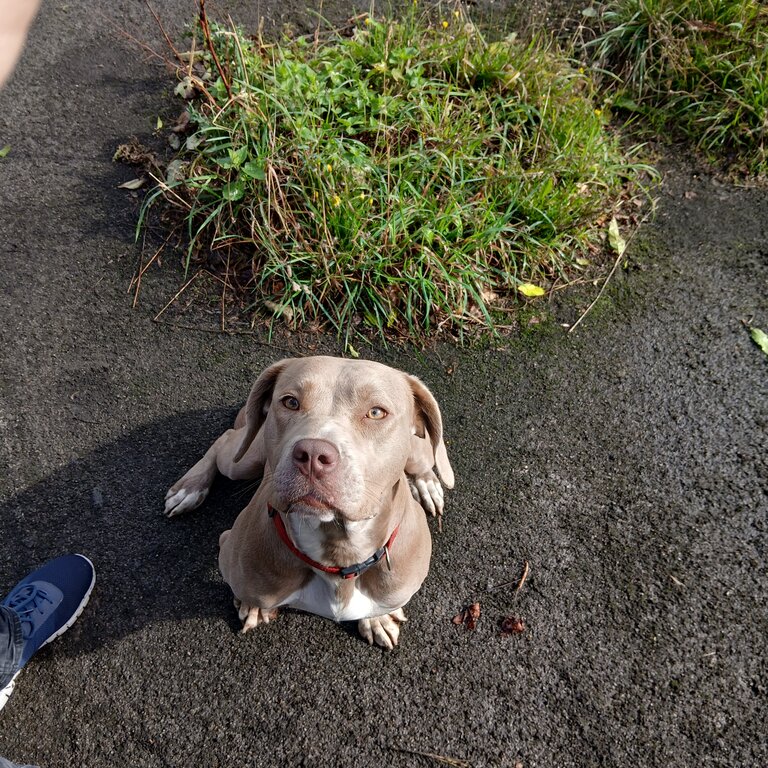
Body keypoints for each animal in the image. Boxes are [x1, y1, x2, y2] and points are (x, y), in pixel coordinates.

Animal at [165, 356, 452, 644]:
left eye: (376, 412)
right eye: (290, 402)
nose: (313, 454)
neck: (339, 553)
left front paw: (376, 619)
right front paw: (253, 606)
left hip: (419, 451)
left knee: (430, 458)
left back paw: (428, 484)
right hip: (244, 458)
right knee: (224, 440)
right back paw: (189, 488)